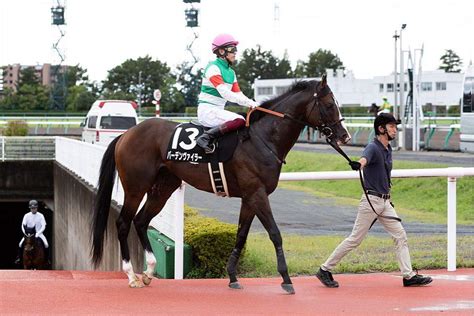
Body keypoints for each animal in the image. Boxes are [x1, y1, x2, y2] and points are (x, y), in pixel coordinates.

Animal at [92, 75, 352, 292]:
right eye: (330, 104)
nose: (345, 136)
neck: (263, 139)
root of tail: (126, 134)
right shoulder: (257, 194)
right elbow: (275, 233)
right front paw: (286, 279)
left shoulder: (249, 197)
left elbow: (241, 236)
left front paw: (233, 277)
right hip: (136, 187)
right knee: (123, 223)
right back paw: (131, 275)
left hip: (162, 187)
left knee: (141, 221)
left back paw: (148, 272)